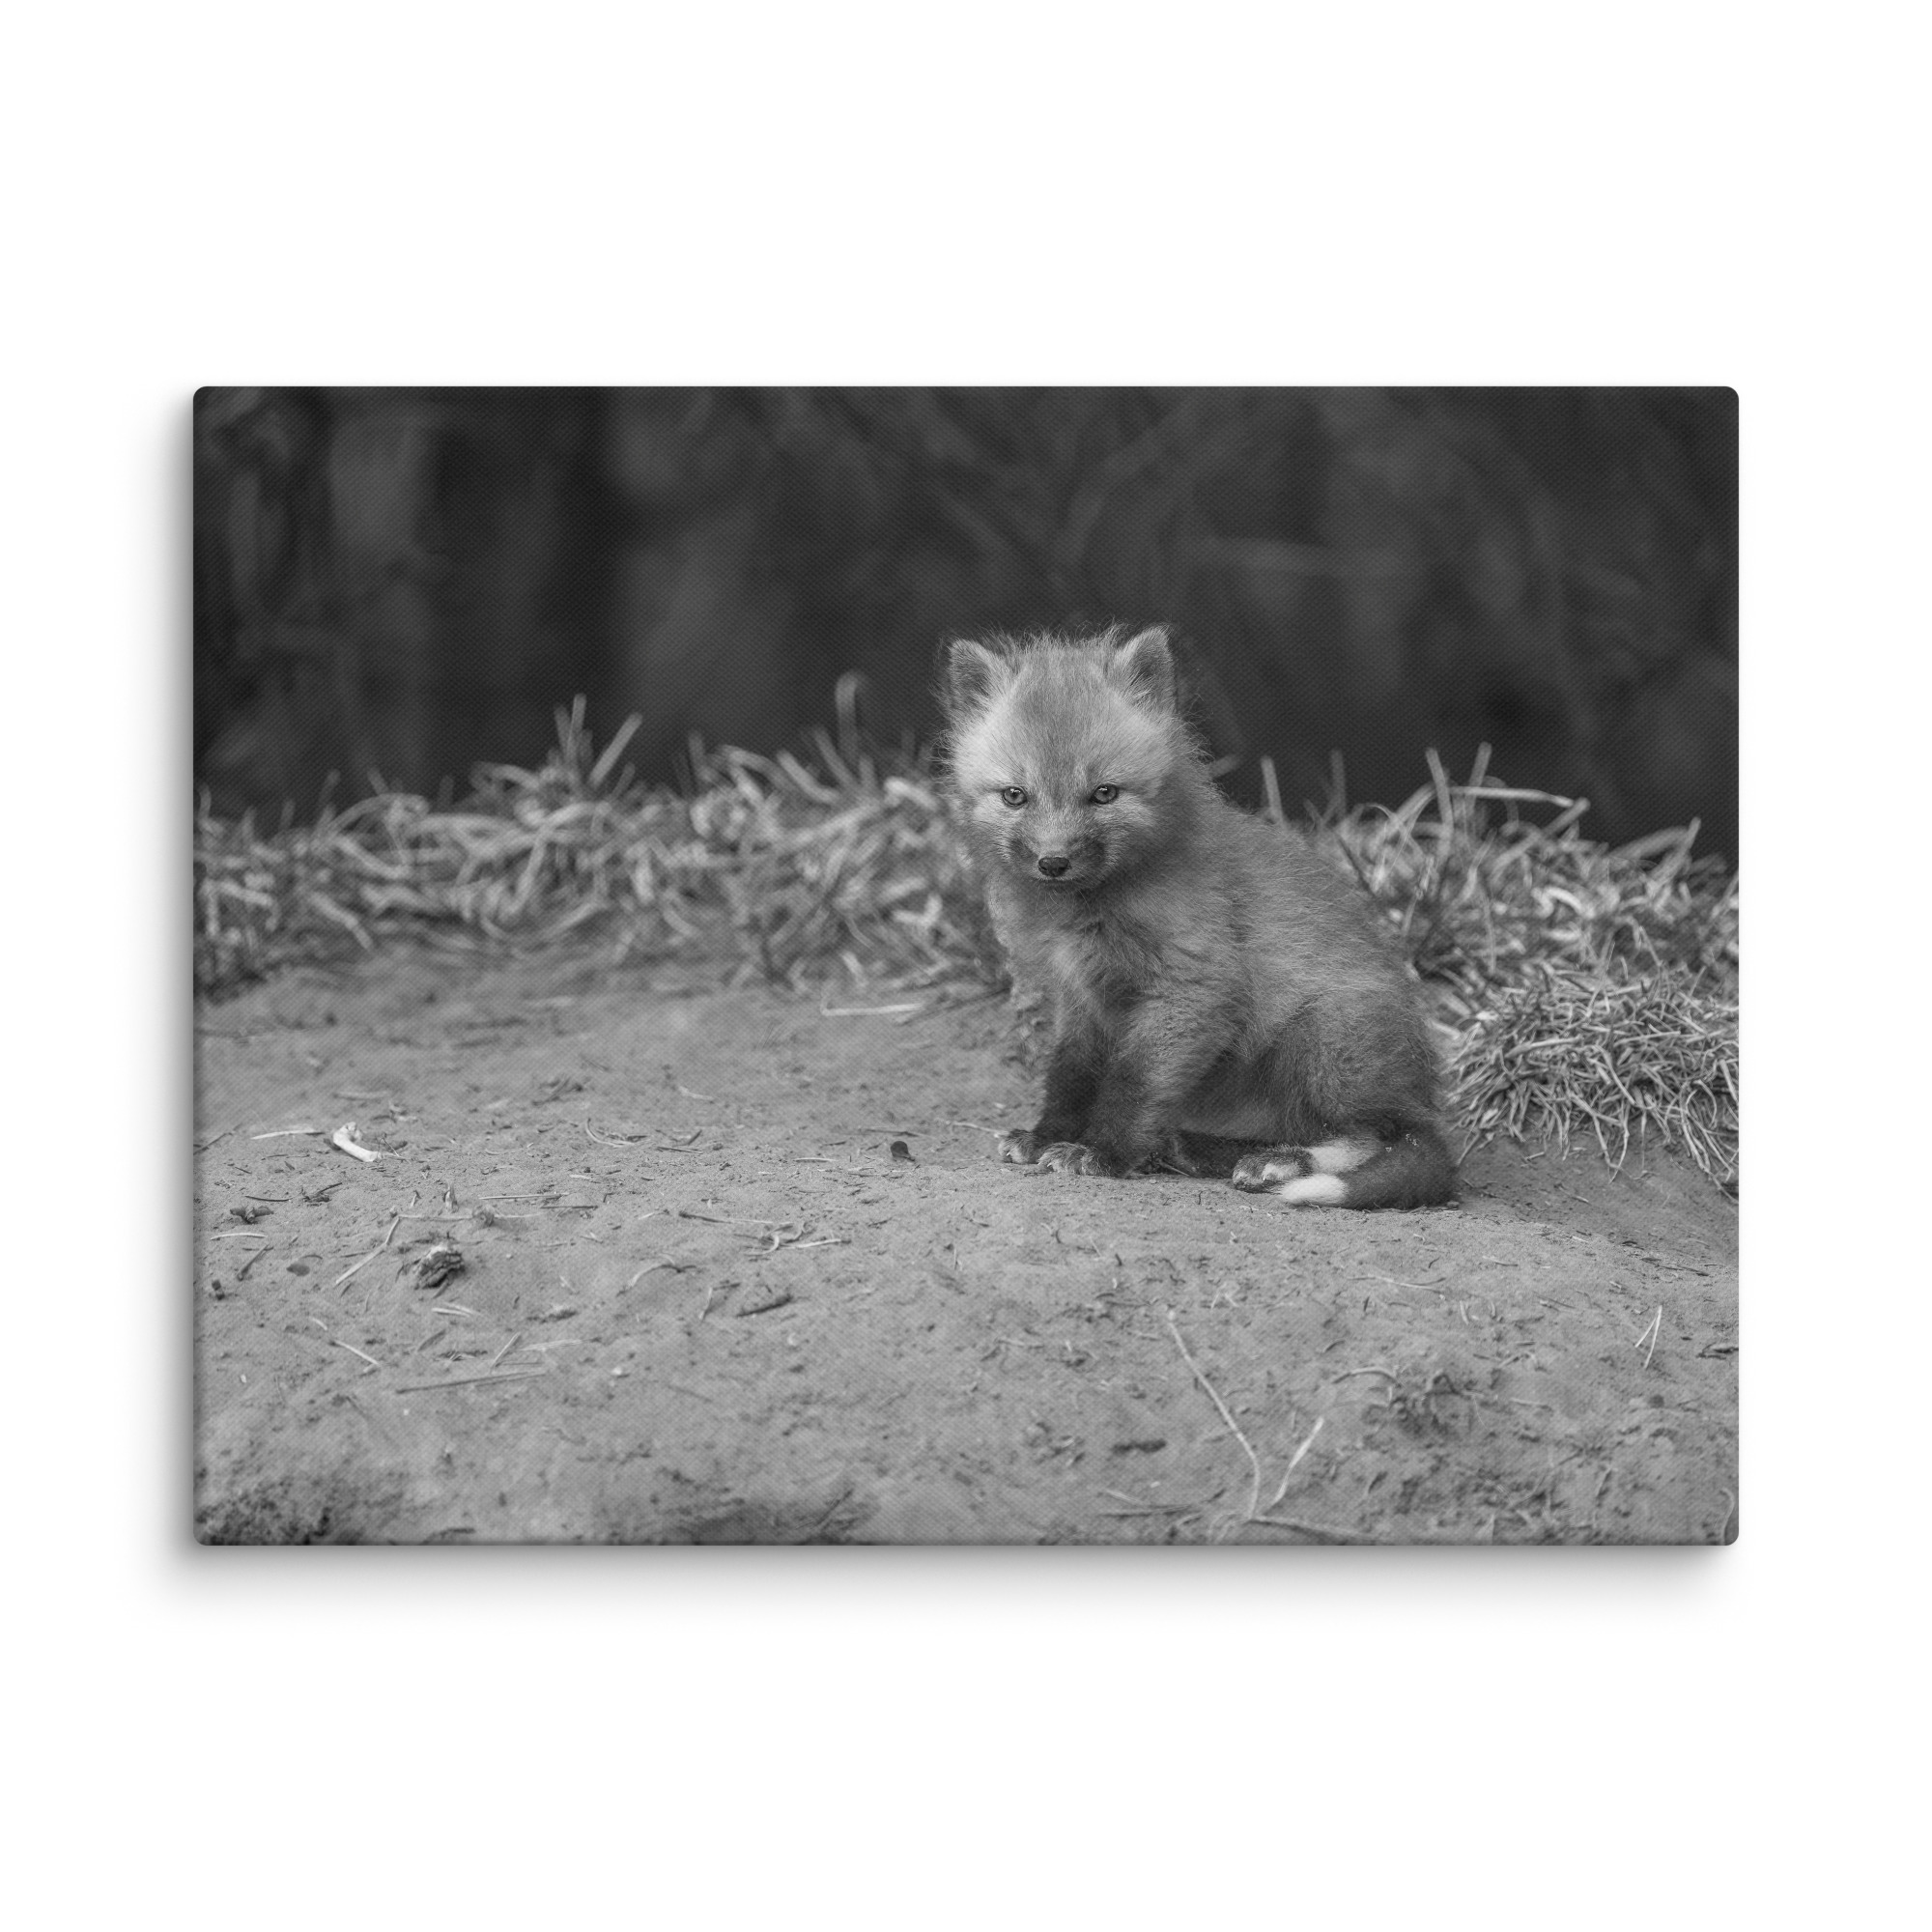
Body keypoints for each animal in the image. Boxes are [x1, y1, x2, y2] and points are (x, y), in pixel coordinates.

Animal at [942, 623, 1455, 1209]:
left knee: (1383, 1138)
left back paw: (1279, 1164)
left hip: (1323, 1039)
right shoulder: (1081, 997)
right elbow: (1070, 1074)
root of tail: (1420, 1092)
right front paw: (1048, 1135)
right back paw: (1199, 1149)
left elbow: (1134, 1081)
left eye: (1103, 794)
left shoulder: (1192, 987)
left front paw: (1102, 1152)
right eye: (1015, 796)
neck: (1092, 912)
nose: (1054, 862)